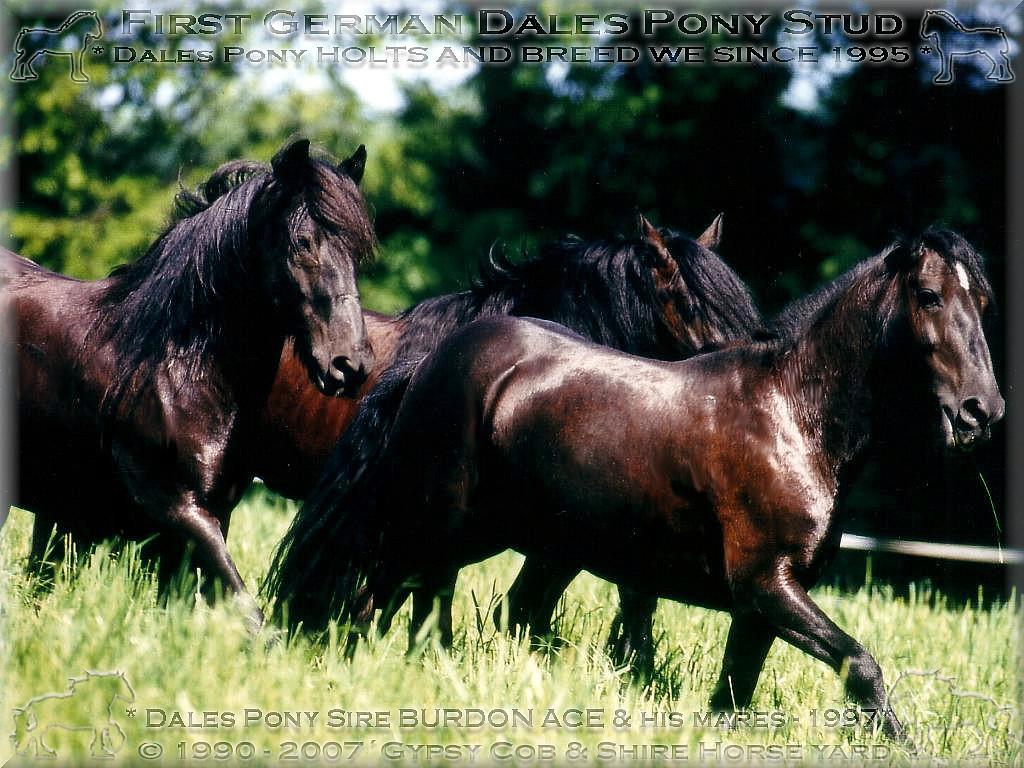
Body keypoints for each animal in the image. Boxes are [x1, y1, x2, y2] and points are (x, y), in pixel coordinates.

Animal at [2, 138, 375, 629]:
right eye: (302, 243)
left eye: (355, 252)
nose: (349, 365)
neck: (180, 367)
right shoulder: (179, 510)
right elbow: (248, 612)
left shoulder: (206, 518)